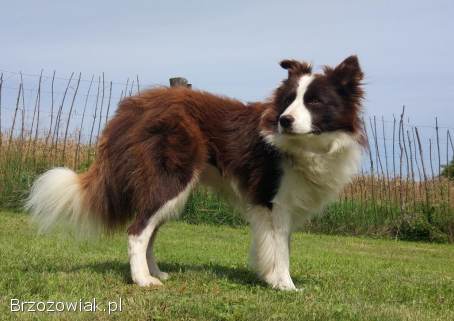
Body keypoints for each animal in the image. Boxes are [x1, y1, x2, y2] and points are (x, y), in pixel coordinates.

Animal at [26, 55, 366, 290]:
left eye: (315, 101)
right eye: (289, 100)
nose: (284, 120)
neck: (306, 146)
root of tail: (132, 107)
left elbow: (280, 245)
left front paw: (270, 278)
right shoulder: (273, 201)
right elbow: (280, 249)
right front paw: (285, 285)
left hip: (171, 188)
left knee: (150, 230)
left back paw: (155, 272)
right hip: (170, 179)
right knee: (137, 230)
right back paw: (143, 280)